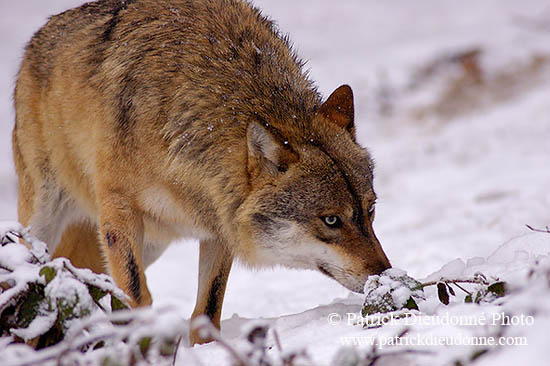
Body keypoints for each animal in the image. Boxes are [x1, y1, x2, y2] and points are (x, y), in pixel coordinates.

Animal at [12, 0, 392, 344]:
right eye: (331, 221)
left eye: (370, 210)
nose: (385, 275)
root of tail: (37, 39)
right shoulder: (119, 212)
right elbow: (136, 296)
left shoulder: (220, 225)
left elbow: (206, 310)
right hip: (46, 221)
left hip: (146, 245)